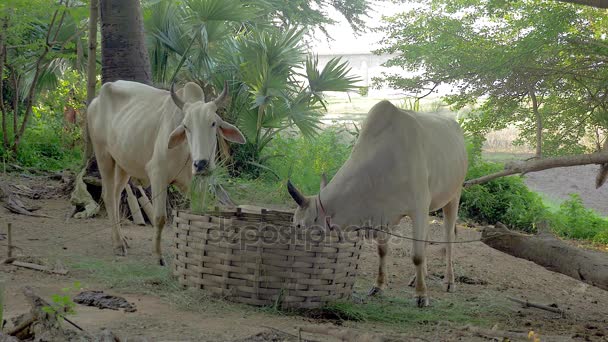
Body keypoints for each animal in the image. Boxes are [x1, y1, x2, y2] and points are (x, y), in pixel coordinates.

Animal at [88, 80, 245, 264]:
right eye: (185, 126)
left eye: (213, 123)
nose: (201, 164)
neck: (186, 153)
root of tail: (98, 97)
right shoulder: (158, 175)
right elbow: (160, 217)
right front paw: (158, 255)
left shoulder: (200, 184)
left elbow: (198, 216)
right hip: (103, 156)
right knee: (108, 196)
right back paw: (118, 244)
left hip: (123, 164)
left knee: (116, 195)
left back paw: (122, 239)